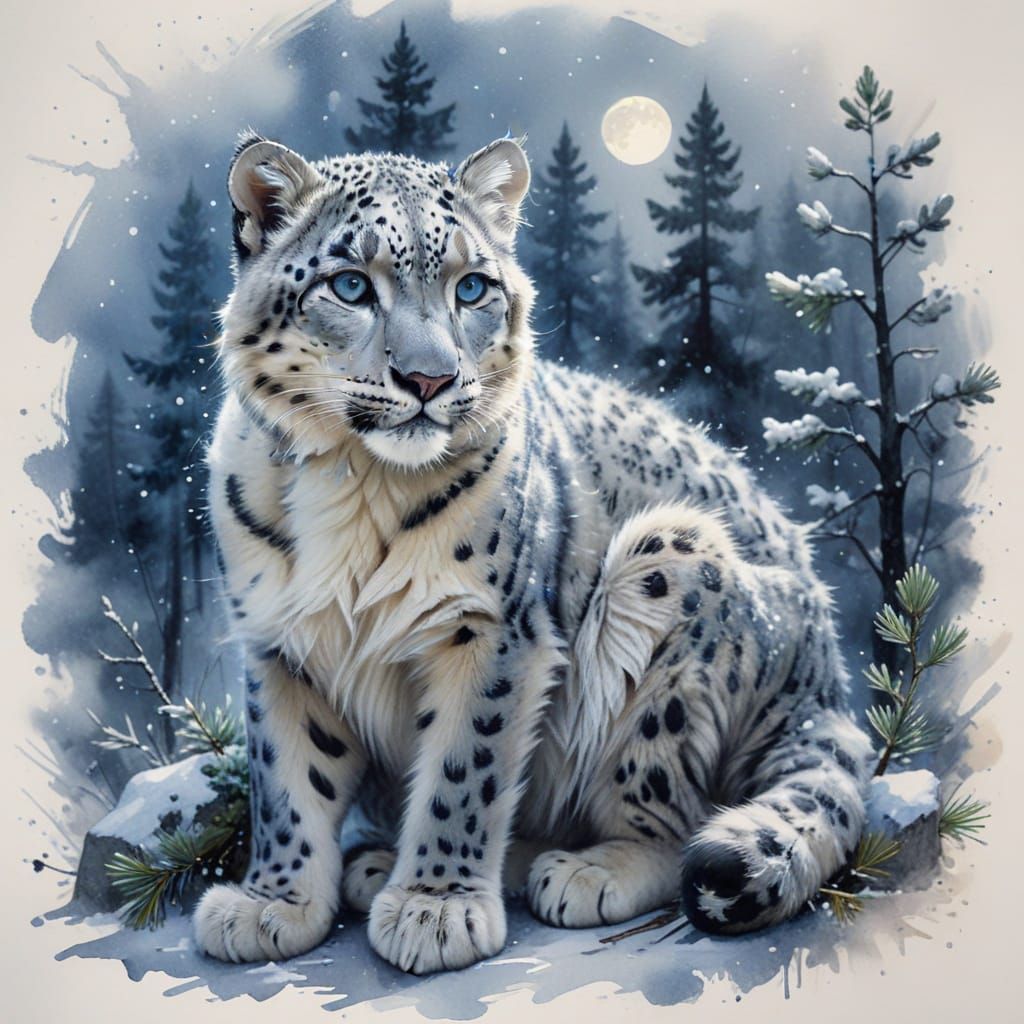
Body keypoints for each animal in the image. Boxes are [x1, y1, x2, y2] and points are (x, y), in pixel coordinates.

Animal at [192, 130, 872, 975]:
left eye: (473, 288)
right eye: (350, 285)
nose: (429, 378)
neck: (353, 482)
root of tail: (827, 680)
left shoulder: (494, 627)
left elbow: (465, 768)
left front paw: (436, 909)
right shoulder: (279, 642)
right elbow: (289, 777)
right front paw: (274, 903)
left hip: (673, 574)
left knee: (671, 816)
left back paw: (582, 871)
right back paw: (383, 863)